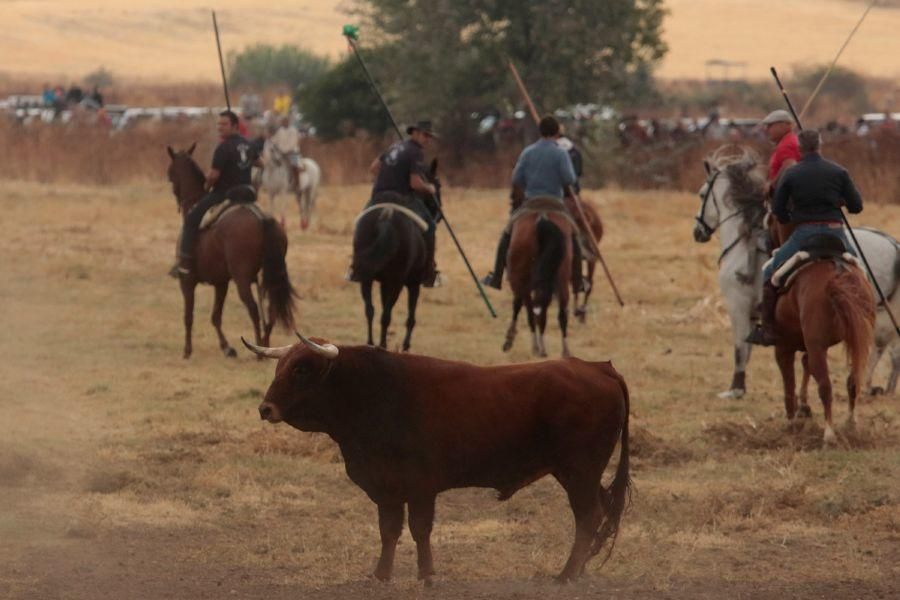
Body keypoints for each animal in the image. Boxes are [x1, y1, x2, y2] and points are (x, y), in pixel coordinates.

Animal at [165, 144, 298, 360]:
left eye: (171, 174)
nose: (177, 198)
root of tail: (261, 218)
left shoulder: (188, 282)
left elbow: (188, 316)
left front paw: (187, 351)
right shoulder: (221, 283)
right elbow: (216, 316)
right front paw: (227, 348)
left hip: (242, 278)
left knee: (253, 308)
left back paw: (259, 352)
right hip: (272, 276)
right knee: (270, 310)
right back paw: (265, 346)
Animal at [243, 338, 628, 584]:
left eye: (302, 369)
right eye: (280, 366)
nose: (265, 409)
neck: (376, 392)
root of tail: (597, 368)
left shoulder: (421, 487)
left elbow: (419, 529)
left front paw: (426, 575)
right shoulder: (387, 487)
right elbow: (389, 530)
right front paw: (380, 576)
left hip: (579, 472)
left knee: (588, 516)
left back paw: (566, 575)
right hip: (582, 475)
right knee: (600, 512)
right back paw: (578, 570)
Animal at [348, 159, 440, 352]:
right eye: (437, 185)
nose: (439, 214)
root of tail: (386, 216)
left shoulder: (384, 282)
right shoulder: (413, 283)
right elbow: (410, 317)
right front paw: (405, 345)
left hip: (367, 278)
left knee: (370, 310)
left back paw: (370, 343)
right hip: (397, 282)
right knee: (386, 314)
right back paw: (382, 345)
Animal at [502, 199, 572, 356]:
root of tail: (542, 217)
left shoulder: (518, 282)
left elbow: (518, 306)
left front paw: (509, 338)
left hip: (523, 280)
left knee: (530, 310)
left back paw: (537, 346)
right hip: (561, 278)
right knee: (559, 312)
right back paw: (564, 351)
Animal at [692, 145, 896, 398]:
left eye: (702, 194)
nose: (698, 232)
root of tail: (893, 244)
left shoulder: (737, 305)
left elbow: (740, 349)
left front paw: (735, 389)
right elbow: (747, 350)